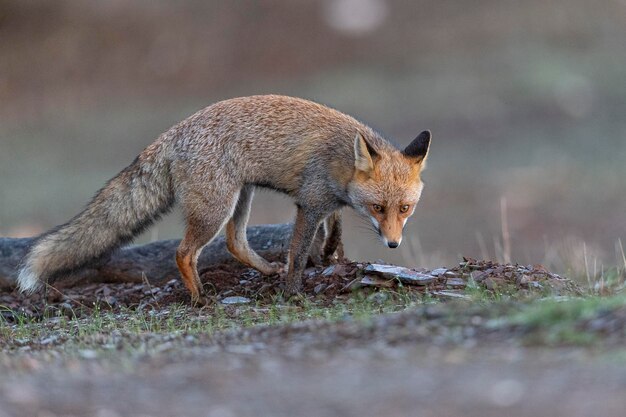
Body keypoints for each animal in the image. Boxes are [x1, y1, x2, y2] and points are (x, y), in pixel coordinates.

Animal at [18, 94, 428, 302]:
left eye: (405, 208)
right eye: (378, 208)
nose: (393, 245)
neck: (341, 159)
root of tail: (170, 135)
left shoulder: (325, 201)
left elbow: (335, 228)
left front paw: (328, 253)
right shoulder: (309, 203)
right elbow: (297, 255)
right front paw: (293, 293)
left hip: (240, 196)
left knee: (235, 242)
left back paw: (263, 271)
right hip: (216, 208)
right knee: (184, 253)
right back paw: (200, 297)